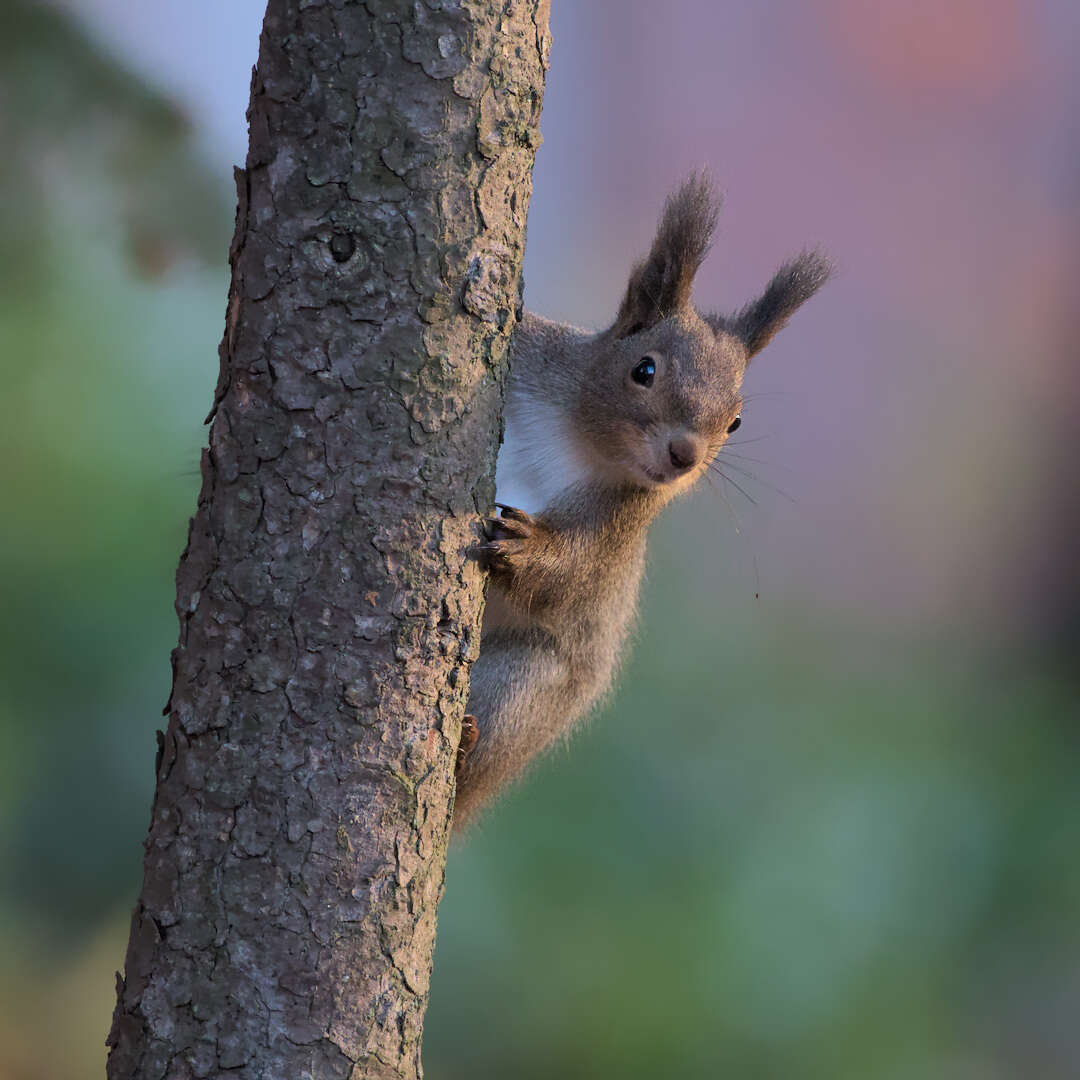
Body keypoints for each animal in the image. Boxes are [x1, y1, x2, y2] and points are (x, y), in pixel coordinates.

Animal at [451, 170, 829, 825]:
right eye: (644, 370)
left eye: (735, 422)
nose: (684, 456)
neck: (575, 433)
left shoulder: (617, 525)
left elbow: (573, 575)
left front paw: (524, 547)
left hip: (523, 688)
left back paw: (464, 749)